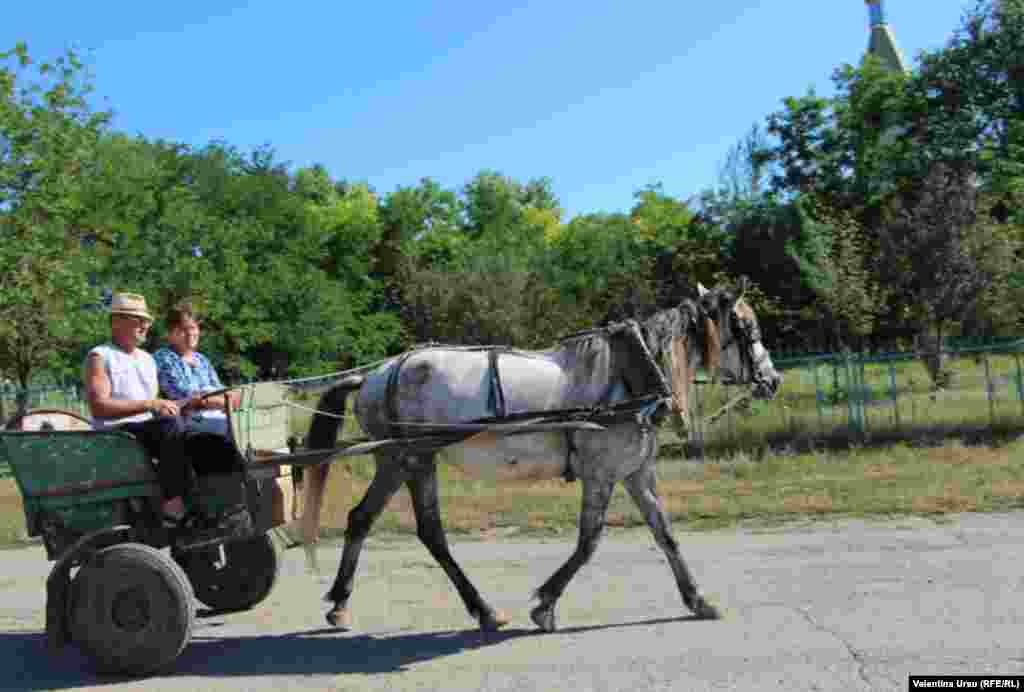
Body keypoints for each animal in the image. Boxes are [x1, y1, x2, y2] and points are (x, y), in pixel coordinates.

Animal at [299, 280, 778, 630]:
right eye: (747, 327)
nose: (773, 379)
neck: (630, 375)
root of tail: (375, 375)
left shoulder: (634, 471)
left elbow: (666, 534)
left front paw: (698, 599)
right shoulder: (602, 473)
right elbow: (589, 541)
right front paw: (545, 604)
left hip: (396, 461)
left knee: (363, 518)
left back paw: (340, 603)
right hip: (414, 459)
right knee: (430, 532)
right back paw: (483, 609)